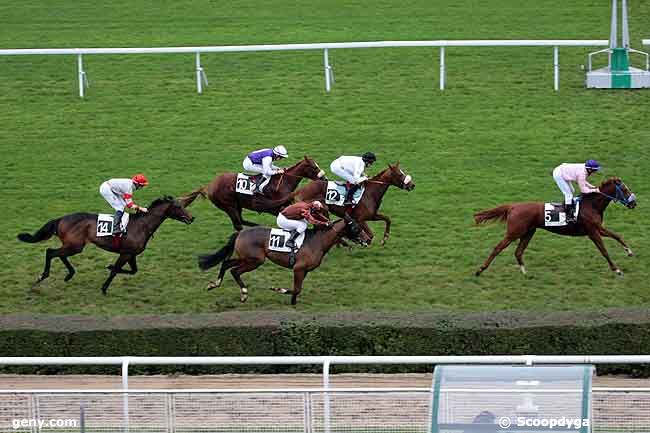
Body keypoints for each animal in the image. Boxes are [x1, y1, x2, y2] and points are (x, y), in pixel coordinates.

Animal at [17, 196, 194, 294]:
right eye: (178, 206)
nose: (192, 218)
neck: (142, 225)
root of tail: (60, 219)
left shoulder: (131, 254)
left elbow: (133, 271)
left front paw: (109, 267)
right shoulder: (125, 253)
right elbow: (116, 270)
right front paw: (104, 287)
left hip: (73, 245)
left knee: (59, 254)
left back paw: (69, 274)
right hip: (75, 245)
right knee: (51, 252)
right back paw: (43, 276)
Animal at [182, 155, 324, 230]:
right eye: (314, 167)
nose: (324, 178)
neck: (284, 182)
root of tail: (210, 185)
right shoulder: (274, 207)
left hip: (237, 205)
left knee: (241, 221)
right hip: (229, 206)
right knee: (238, 224)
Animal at [197, 215, 368, 304]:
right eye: (356, 227)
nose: (367, 239)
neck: (317, 241)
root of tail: (240, 233)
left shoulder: (304, 270)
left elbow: (298, 289)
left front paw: (293, 303)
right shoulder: (299, 268)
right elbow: (297, 289)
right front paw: (278, 289)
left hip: (245, 258)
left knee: (226, 263)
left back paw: (214, 284)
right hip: (255, 260)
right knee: (234, 271)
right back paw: (244, 293)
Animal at [470, 176, 632, 276]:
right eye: (624, 190)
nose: (634, 203)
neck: (591, 205)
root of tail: (513, 206)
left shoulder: (598, 229)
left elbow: (617, 235)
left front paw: (629, 251)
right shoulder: (593, 231)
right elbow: (604, 250)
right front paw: (617, 270)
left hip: (529, 232)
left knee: (518, 251)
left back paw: (525, 273)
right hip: (514, 232)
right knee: (497, 248)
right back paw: (479, 270)